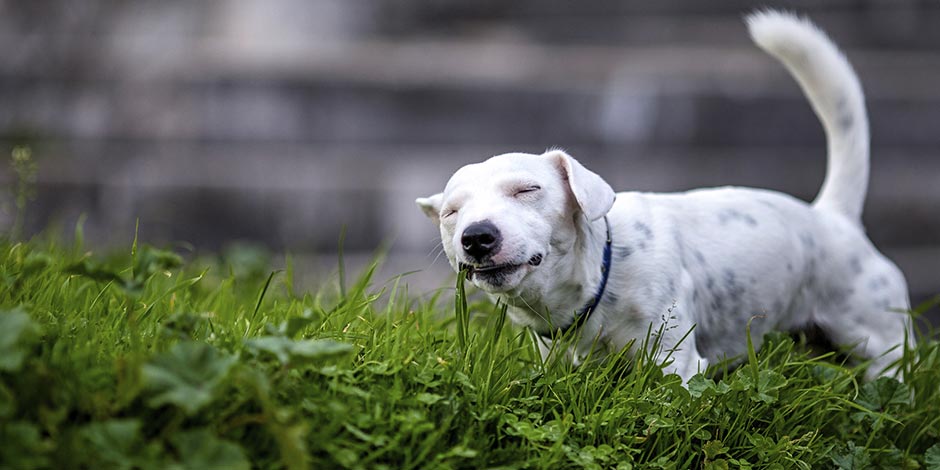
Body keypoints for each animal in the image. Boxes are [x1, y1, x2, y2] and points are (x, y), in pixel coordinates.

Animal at [416, 10, 912, 382]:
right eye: (452, 213)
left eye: (527, 189)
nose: (477, 237)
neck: (600, 276)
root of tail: (832, 216)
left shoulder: (675, 361)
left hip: (881, 343)